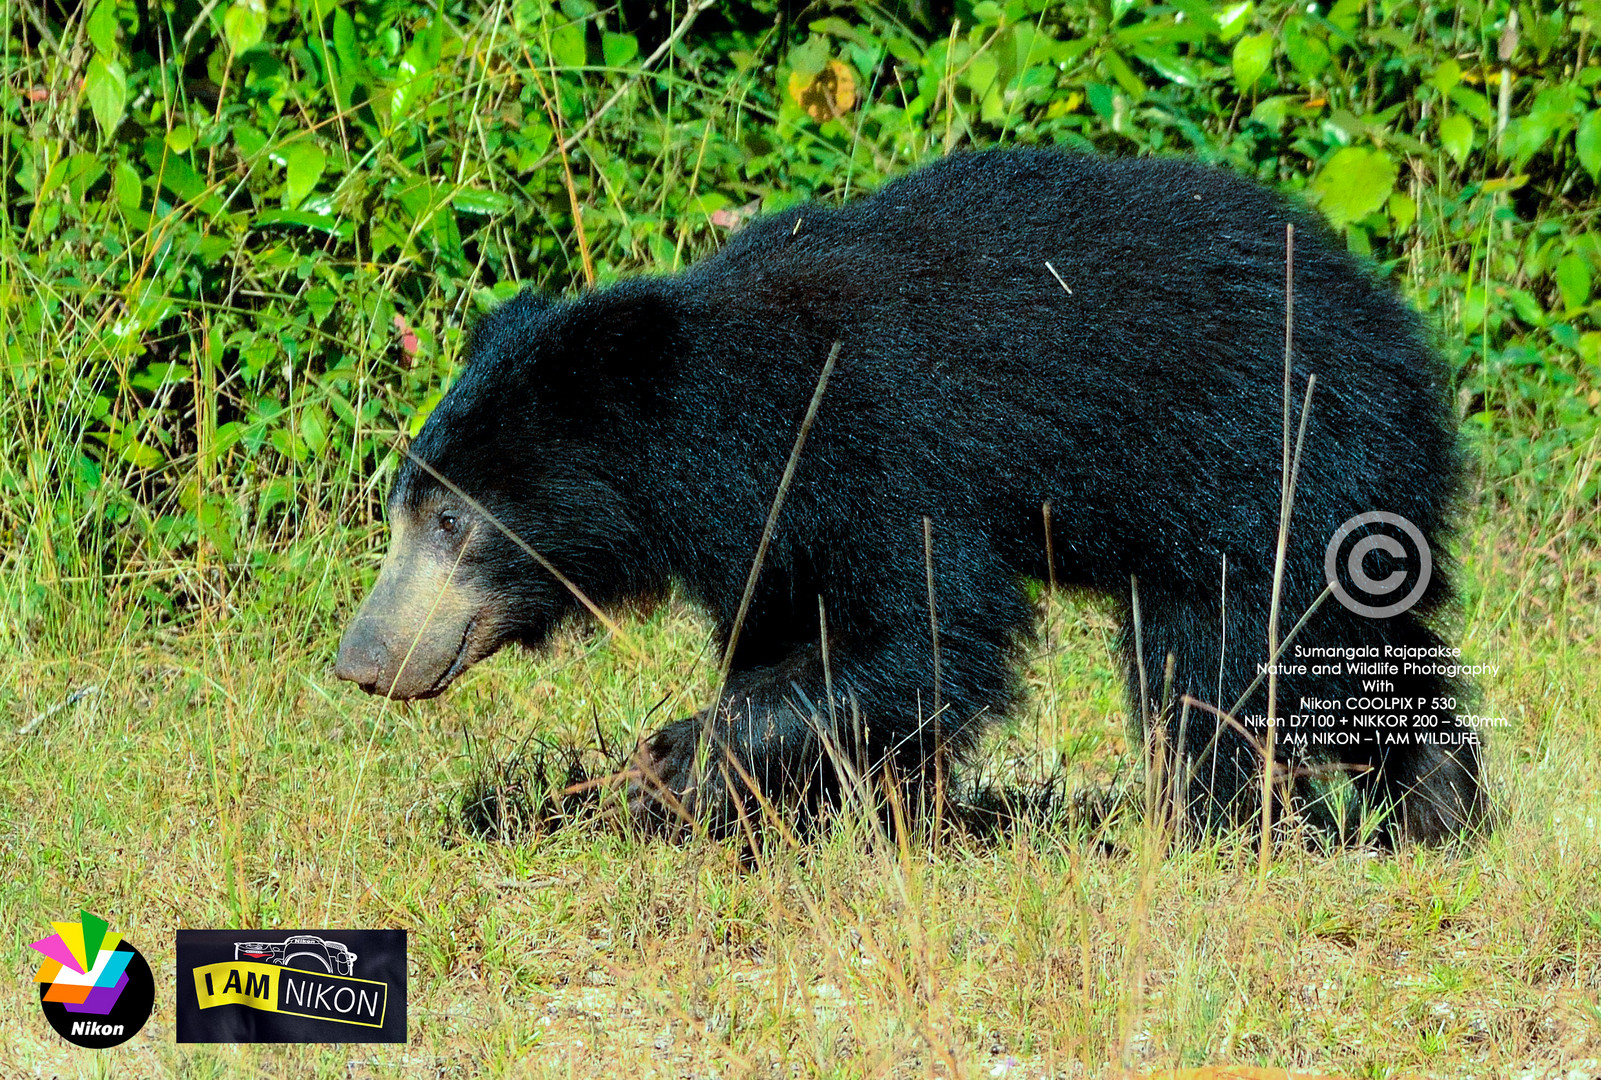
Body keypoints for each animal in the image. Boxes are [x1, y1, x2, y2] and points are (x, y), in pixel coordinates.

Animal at [337, 149, 1485, 844]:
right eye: (400, 507)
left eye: (452, 520)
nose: (363, 660)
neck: (734, 426)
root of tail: (1398, 336)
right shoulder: (778, 528)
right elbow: (804, 632)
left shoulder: (888, 453)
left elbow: (928, 635)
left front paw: (667, 766)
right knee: (1359, 653)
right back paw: (1437, 807)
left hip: (1265, 466)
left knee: (1217, 664)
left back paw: (1206, 825)